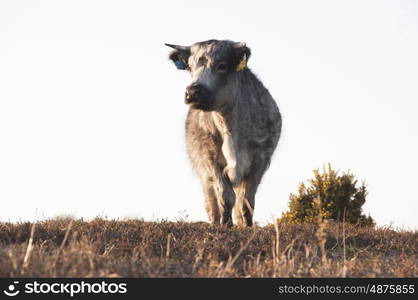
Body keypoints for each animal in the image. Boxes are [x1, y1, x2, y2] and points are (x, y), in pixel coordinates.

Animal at [166, 40, 280, 227]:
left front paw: (248, 226)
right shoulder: (210, 160)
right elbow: (225, 197)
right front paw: (226, 224)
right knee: (212, 202)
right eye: (190, 67)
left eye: (222, 66)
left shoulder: (260, 160)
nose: (193, 92)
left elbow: (247, 201)